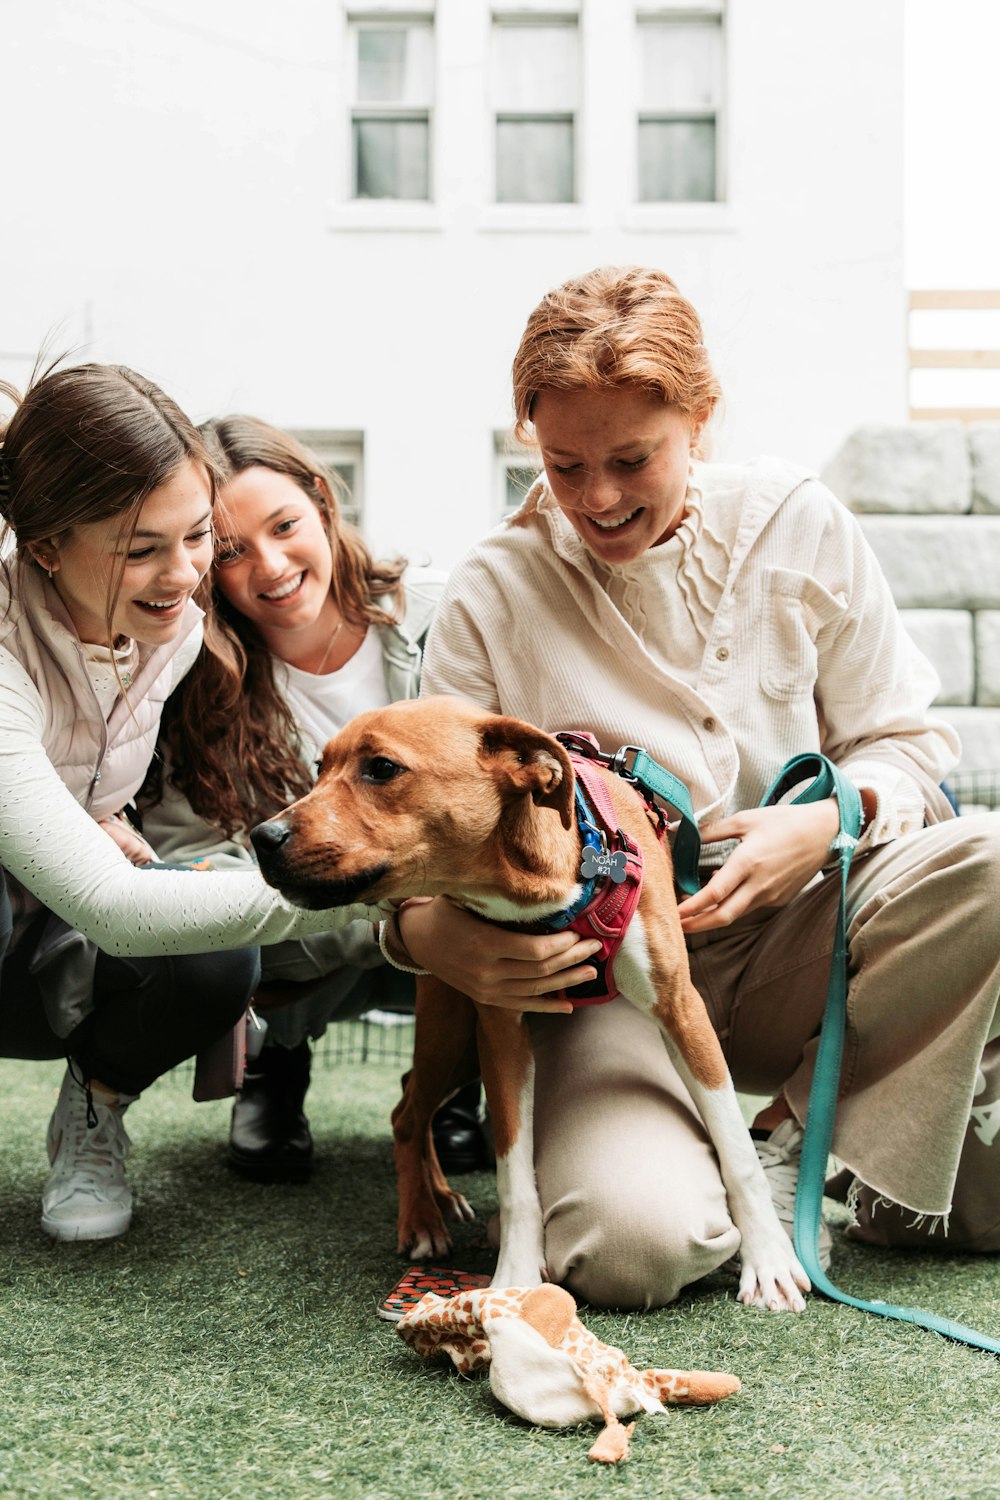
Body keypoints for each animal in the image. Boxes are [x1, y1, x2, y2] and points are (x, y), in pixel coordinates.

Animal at [250, 693, 815, 1314]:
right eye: (318, 769)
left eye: (382, 768)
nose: (262, 837)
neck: (552, 877)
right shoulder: (501, 1031)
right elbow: (515, 1174)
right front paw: (516, 1274)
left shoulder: (682, 1011)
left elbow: (736, 1149)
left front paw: (769, 1261)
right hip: (453, 1033)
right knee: (406, 1113)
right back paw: (421, 1218)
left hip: (458, 1049)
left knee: (407, 1099)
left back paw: (439, 1197)